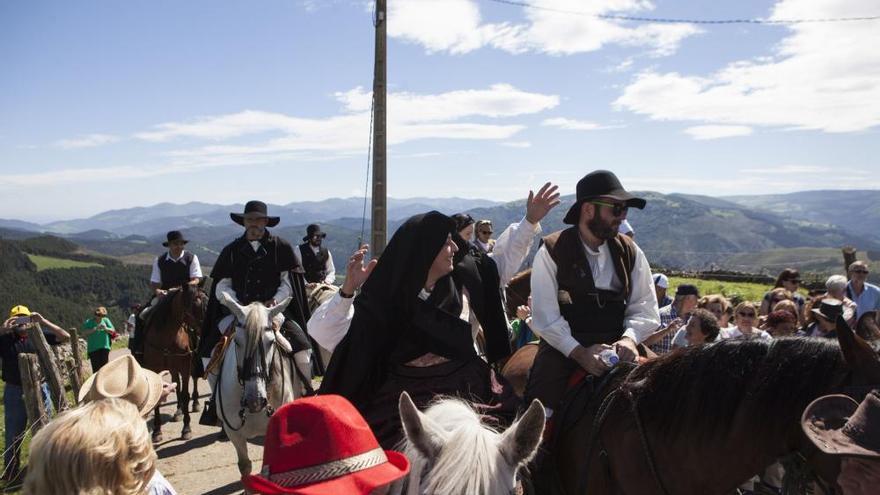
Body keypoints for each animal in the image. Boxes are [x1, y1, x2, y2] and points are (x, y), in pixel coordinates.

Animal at [143, 284, 208, 444]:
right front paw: (157, 431)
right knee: (175, 383)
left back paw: (195, 403)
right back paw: (178, 410)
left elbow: (185, 394)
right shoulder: (155, 369)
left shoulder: (185, 366)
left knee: (194, 379)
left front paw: (186, 429)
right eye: (195, 305)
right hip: (172, 368)